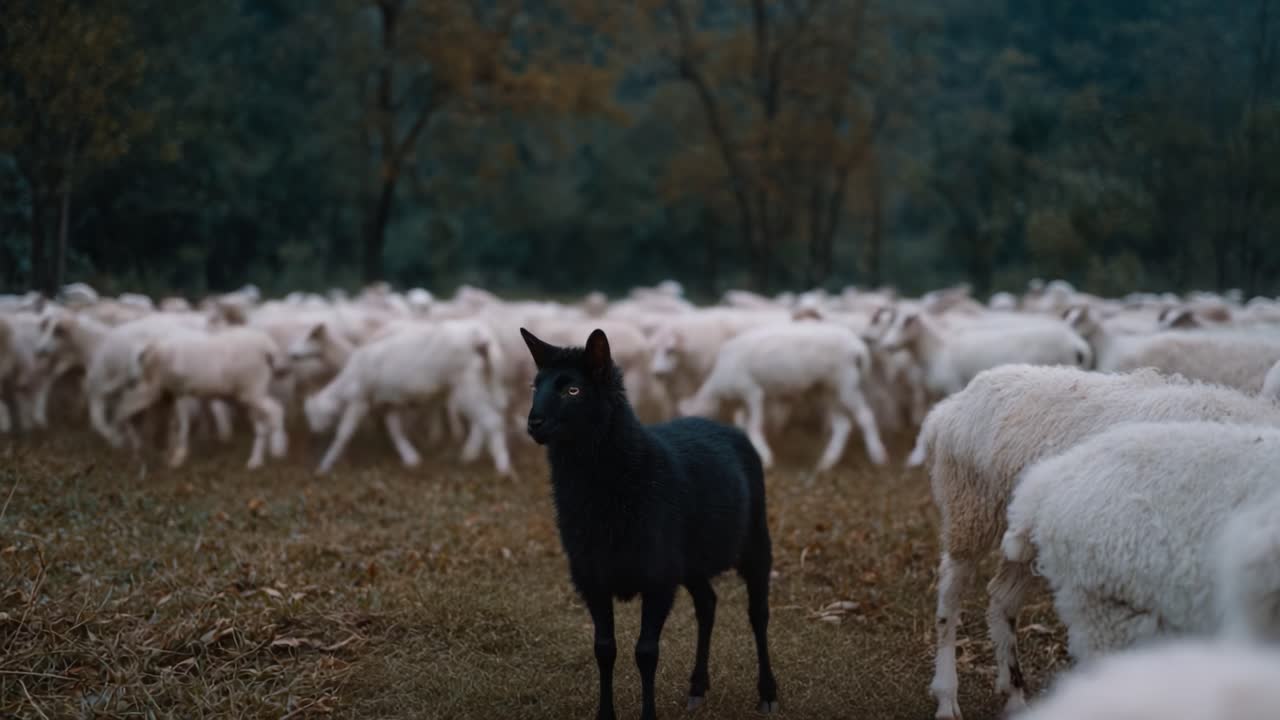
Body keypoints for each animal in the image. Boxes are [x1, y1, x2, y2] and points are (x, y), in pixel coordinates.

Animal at [114, 326, 289, 469]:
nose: (133, 454)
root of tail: (269, 347)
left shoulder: (179, 390)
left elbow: (180, 424)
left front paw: (177, 457)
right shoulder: (173, 393)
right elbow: (173, 423)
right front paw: (170, 453)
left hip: (252, 389)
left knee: (277, 409)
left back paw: (278, 449)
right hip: (250, 392)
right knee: (262, 423)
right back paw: (255, 461)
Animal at [303, 320, 511, 476]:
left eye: (312, 414)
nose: (313, 433)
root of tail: (479, 336)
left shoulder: (359, 400)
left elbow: (344, 433)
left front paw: (325, 465)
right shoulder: (391, 403)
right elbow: (395, 429)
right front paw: (411, 458)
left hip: (468, 387)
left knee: (492, 421)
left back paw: (503, 468)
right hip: (488, 381)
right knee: (489, 418)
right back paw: (471, 454)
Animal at [520, 328, 778, 720]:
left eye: (573, 390)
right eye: (536, 386)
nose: (533, 423)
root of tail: (721, 425)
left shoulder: (657, 576)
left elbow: (646, 653)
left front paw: (648, 714)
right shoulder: (593, 575)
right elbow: (604, 649)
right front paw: (605, 715)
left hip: (754, 542)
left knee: (758, 614)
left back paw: (767, 692)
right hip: (690, 560)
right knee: (708, 605)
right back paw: (697, 688)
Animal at [679, 322, 887, 471]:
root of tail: (858, 347)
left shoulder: (752, 391)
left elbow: (754, 425)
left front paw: (765, 457)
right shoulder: (743, 400)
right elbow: (743, 423)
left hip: (846, 382)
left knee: (865, 416)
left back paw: (877, 456)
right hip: (826, 390)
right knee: (842, 424)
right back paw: (826, 462)